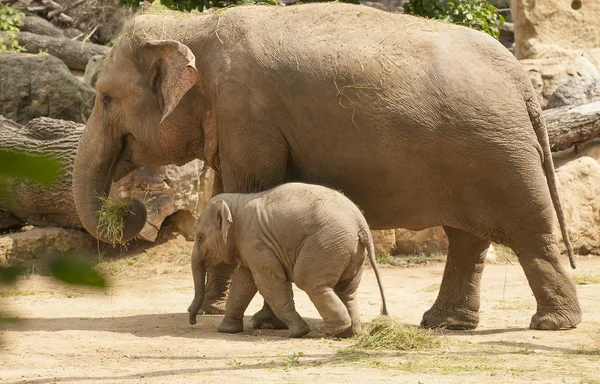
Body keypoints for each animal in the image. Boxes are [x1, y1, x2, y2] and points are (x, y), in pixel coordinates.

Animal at [185, 183, 390, 336]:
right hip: (351, 250)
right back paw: (350, 333)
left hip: (326, 243)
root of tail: (361, 225)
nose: (192, 320)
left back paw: (335, 331)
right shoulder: (250, 247)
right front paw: (226, 330)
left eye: (200, 238)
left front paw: (298, 332)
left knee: (309, 282)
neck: (238, 201)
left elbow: (269, 282)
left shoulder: (256, 242)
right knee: (347, 290)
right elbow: (244, 283)